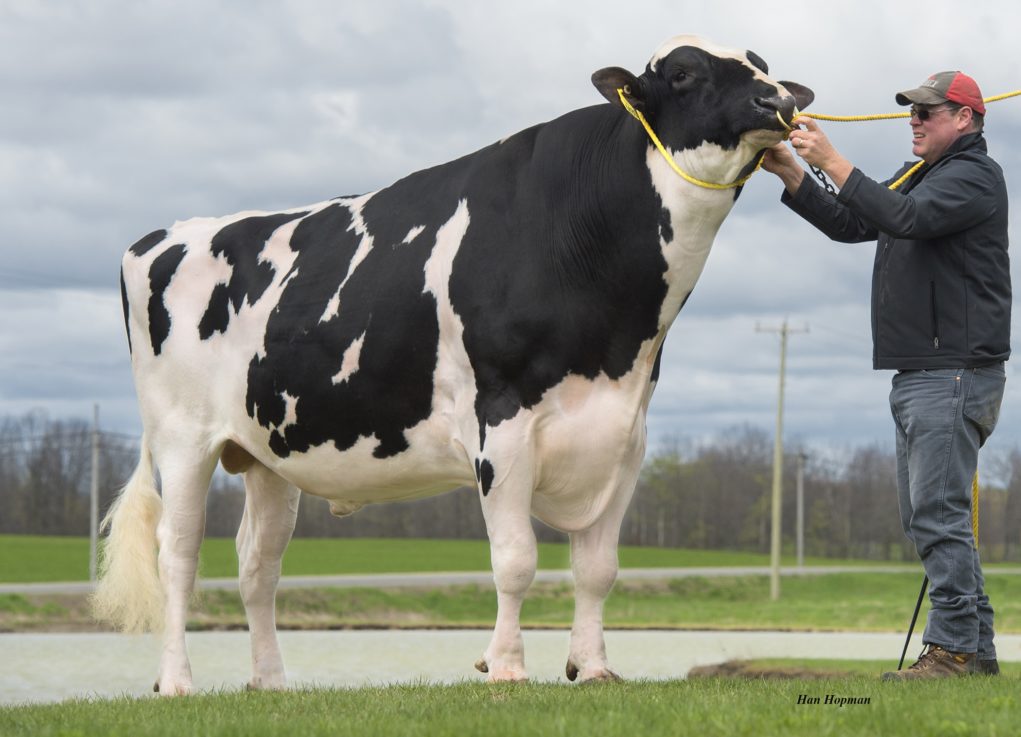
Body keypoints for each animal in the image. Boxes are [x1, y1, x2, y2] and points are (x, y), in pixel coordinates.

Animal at [95, 34, 812, 690]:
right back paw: (176, 681)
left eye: (763, 66)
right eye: (684, 72)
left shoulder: (624, 435)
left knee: (257, 563)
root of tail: (158, 237)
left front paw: (593, 666)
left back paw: (269, 681)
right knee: (177, 554)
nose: (780, 102)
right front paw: (506, 667)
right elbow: (516, 559)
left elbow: (598, 567)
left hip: (267, 448)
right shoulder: (501, 421)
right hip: (183, 437)